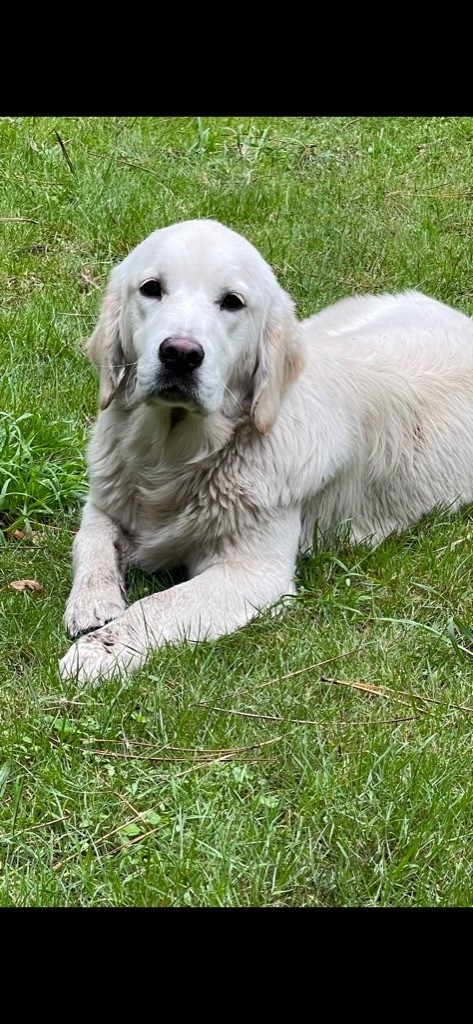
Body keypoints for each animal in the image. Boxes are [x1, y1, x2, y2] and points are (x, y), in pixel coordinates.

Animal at [60, 217, 473, 684]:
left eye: (232, 302)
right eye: (151, 288)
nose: (180, 354)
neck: (172, 458)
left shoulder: (254, 573)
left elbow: (160, 605)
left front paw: (98, 651)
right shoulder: (105, 501)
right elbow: (90, 538)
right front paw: (93, 602)